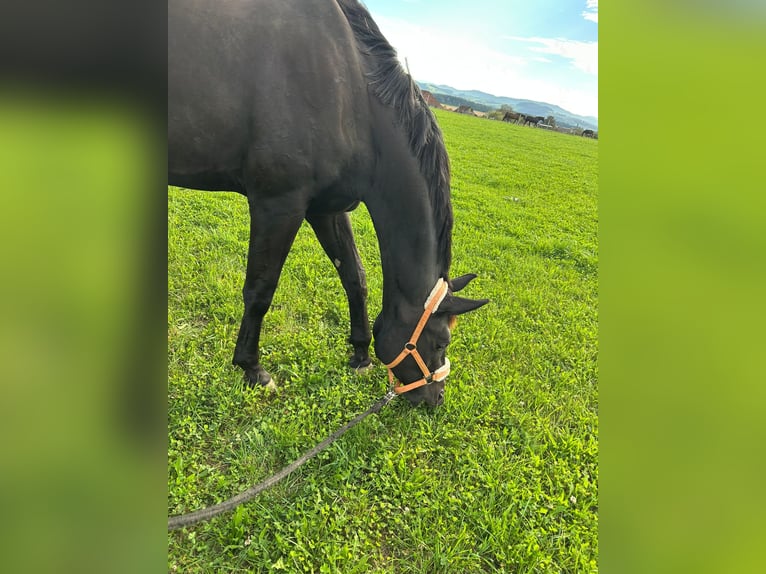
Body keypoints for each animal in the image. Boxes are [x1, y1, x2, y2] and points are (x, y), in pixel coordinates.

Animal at [171, 0, 488, 408]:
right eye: (439, 341)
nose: (434, 398)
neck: (349, 93)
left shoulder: (326, 209)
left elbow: (355, 276)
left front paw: (360, 354)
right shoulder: (279, 206)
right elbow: (260, 290)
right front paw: (252, 369)